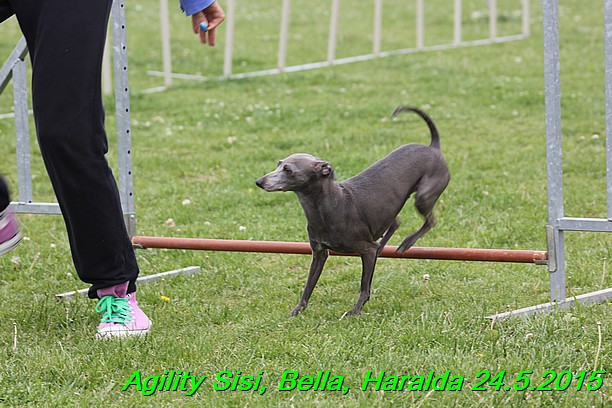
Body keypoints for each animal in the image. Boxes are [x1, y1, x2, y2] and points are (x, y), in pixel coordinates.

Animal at [253, 105, 450, 316]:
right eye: (278, 164)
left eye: (288, 170)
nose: (259, 181)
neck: (329, 206)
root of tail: (432, 147)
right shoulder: (319, 253)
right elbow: (308, 286)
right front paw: (297, 310)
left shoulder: (366, 250)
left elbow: (364, 286)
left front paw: (356, 310)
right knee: (395, 224)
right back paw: (386, 245)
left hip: (423, 196)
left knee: (430, 221)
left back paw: (406, 243)